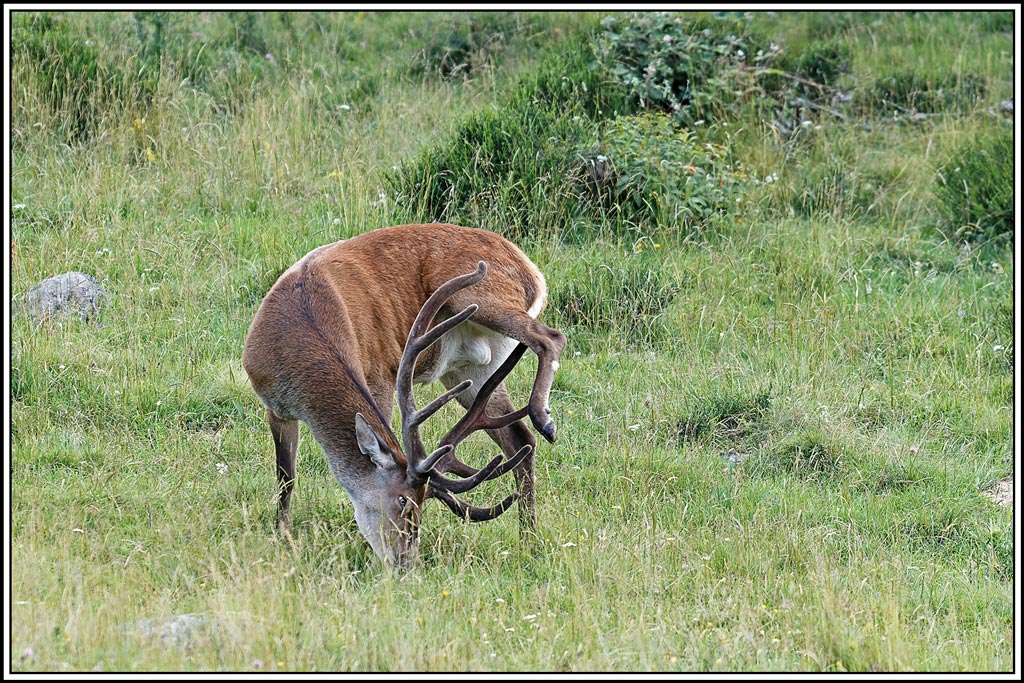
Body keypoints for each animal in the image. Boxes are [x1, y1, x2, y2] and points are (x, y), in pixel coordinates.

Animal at [242, 223, 566, 570]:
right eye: (404, 500)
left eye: (417, 503)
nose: (405, 563)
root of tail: (532, 272)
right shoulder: (274, 406)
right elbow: (285, 477)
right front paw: (283, 535)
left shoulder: (379, 373)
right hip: (474, 369)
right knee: (520, 441)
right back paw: (528, 538)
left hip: (482, 296)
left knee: (551, 337)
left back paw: (543, 417)